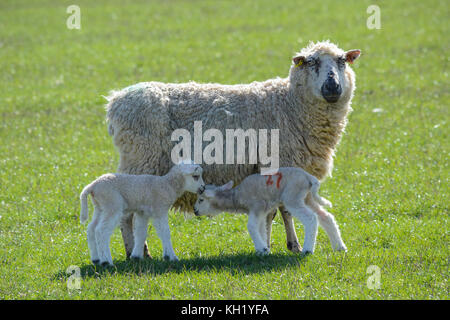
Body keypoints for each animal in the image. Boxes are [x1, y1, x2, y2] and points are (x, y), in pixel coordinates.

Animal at [192, 168, 344, 255]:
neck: (237, 197)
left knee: (311, 218)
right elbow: (262, 228)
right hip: (307, 197)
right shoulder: (262, 211)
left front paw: (262, 249)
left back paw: (307, 250)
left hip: (293, 197)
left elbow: (251, 226)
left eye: (201, 200)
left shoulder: (256, 206)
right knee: (326, 217)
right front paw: (265, 248)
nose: (194, 210)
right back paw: (339, 247)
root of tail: (309, 178)